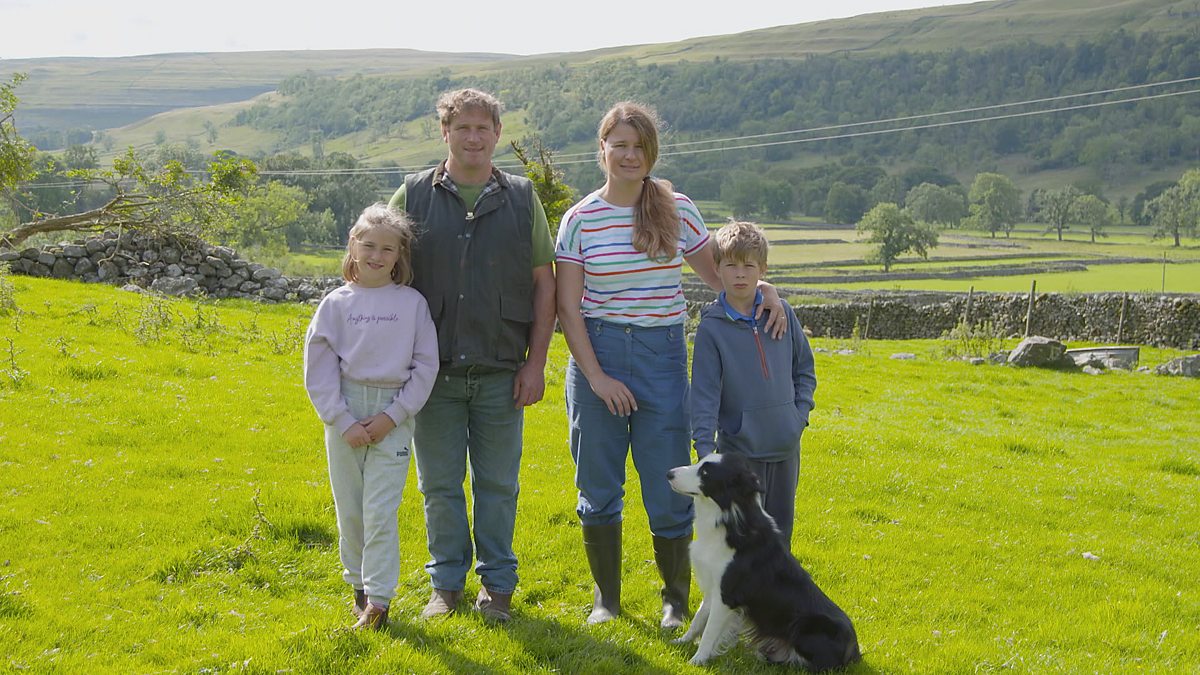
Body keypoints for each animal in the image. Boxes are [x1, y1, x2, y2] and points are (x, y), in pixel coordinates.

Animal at [667, 452, 862, 670]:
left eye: (706, 472)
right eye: (700, 463)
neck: (726, 519)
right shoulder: (713, 588)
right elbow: (699, 619)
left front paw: (697, 660)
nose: (669, 473)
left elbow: (709, 631)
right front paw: (682, 641)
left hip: (807, 627)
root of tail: (854, 651)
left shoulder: (727, 595)